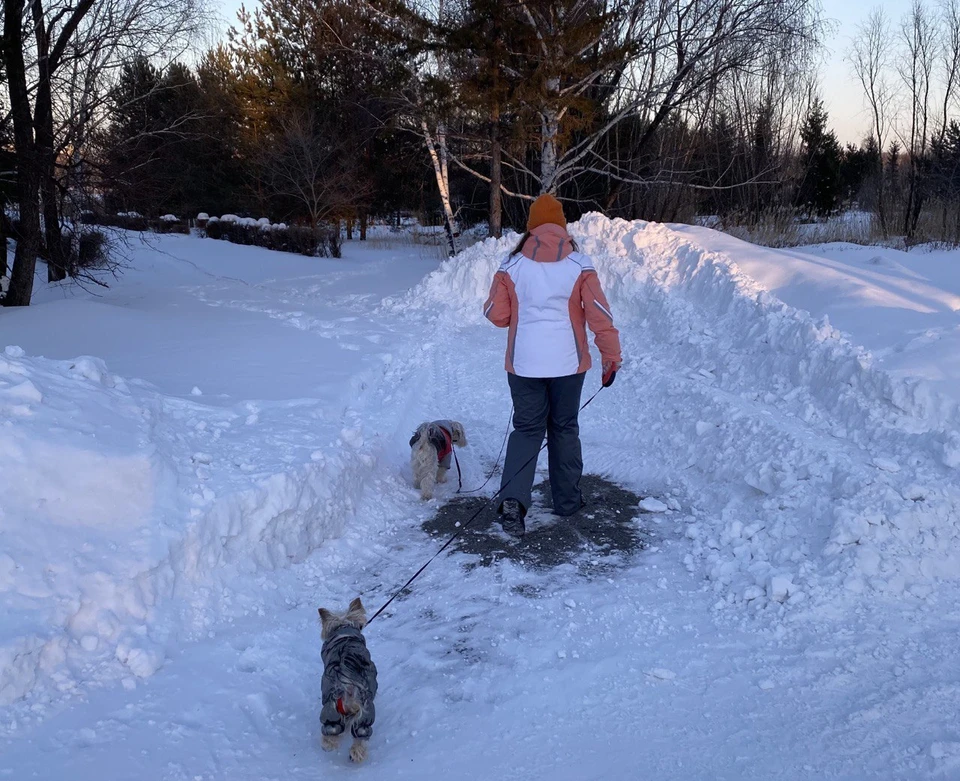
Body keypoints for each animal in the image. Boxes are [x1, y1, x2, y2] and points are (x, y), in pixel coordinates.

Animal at [316, 596, 376, 760]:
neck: (343, 628)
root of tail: (348, 684)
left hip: (331, 708)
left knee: (332, 731)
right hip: (364, 709)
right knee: (360, 732)